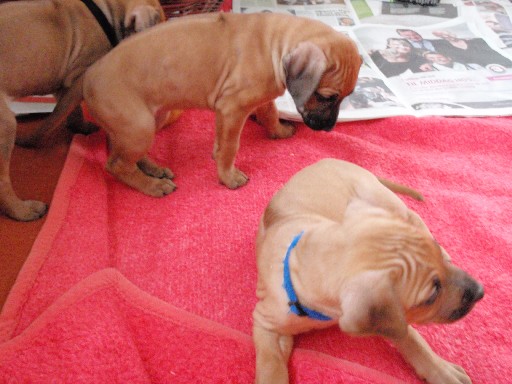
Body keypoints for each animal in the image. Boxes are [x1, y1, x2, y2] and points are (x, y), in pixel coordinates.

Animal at [0, 0, 164, 220]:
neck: (108, 11)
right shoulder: (80, 74)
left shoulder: (65, 84)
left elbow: (71, 109)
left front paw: (80, 126)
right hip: (6, 125)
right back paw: (24, 210)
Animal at [84, 13, 362, 196]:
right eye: (327, 97)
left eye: (348, 96)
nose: (329, 129)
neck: (274, 45)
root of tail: (86, 82)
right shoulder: (232, 109)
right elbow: (230, 147)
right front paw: (228, 177)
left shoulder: (241, 106)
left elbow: (268, 113)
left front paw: (278, 131)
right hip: (139, 126)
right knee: (116, 164)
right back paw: (152, 185)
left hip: (149, 121)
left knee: (121, 154)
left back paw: (153, 169)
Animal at [255, 158, 484, 384]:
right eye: (432, 295)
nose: (480, 291)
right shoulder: (265, 321)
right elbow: (270, 363)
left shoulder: (392, 316)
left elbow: (410, 337)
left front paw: (440, 369)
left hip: (384, 200)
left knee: (414, 217)